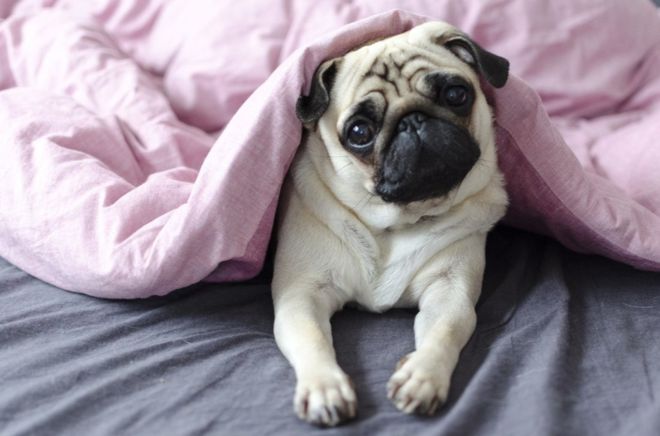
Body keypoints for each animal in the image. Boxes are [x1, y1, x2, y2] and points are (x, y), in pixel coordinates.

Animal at [272, 21, 509, 426]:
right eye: (359, 132)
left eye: (456, 94)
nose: (412, 120)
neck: (394, 223)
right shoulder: (300, 294)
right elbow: (312, 337)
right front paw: (324, 387)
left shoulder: (449, 290)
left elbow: (445, 330)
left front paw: (423, 377)